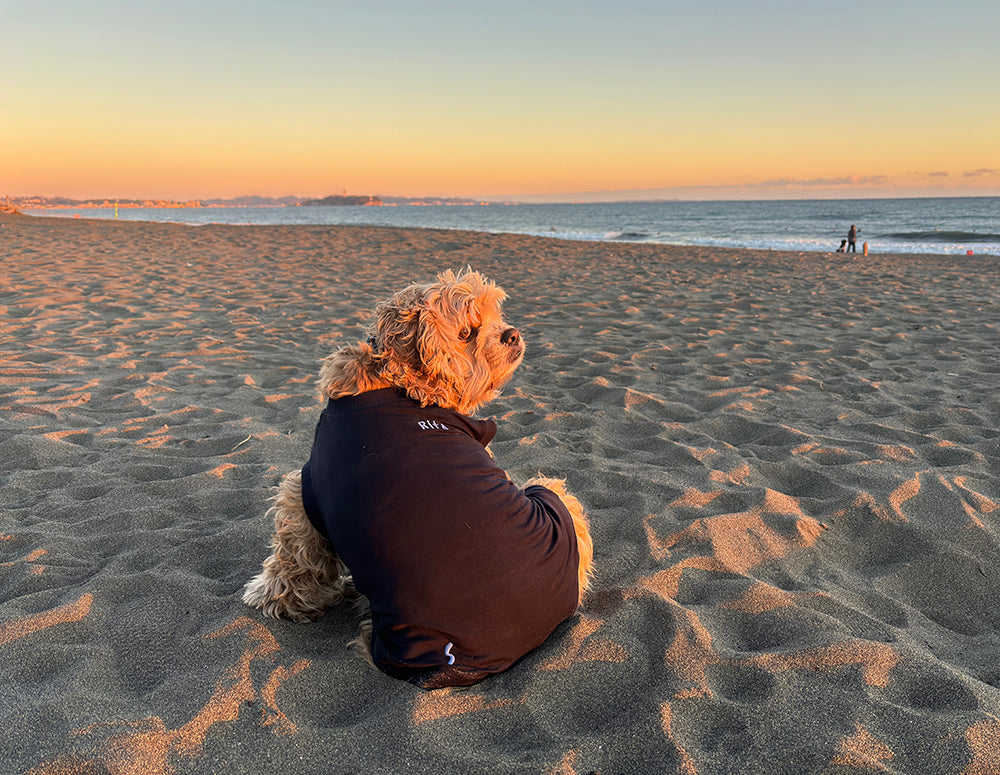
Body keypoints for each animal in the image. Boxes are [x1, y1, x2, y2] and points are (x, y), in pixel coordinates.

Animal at [243, 268, 592, 692]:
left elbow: (295, 560)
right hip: (554, 498)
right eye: (466, 333)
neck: (397, 382)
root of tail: (459, 664)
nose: (511, 334)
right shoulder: (301, 491)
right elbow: (293, 561)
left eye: (494, 316)